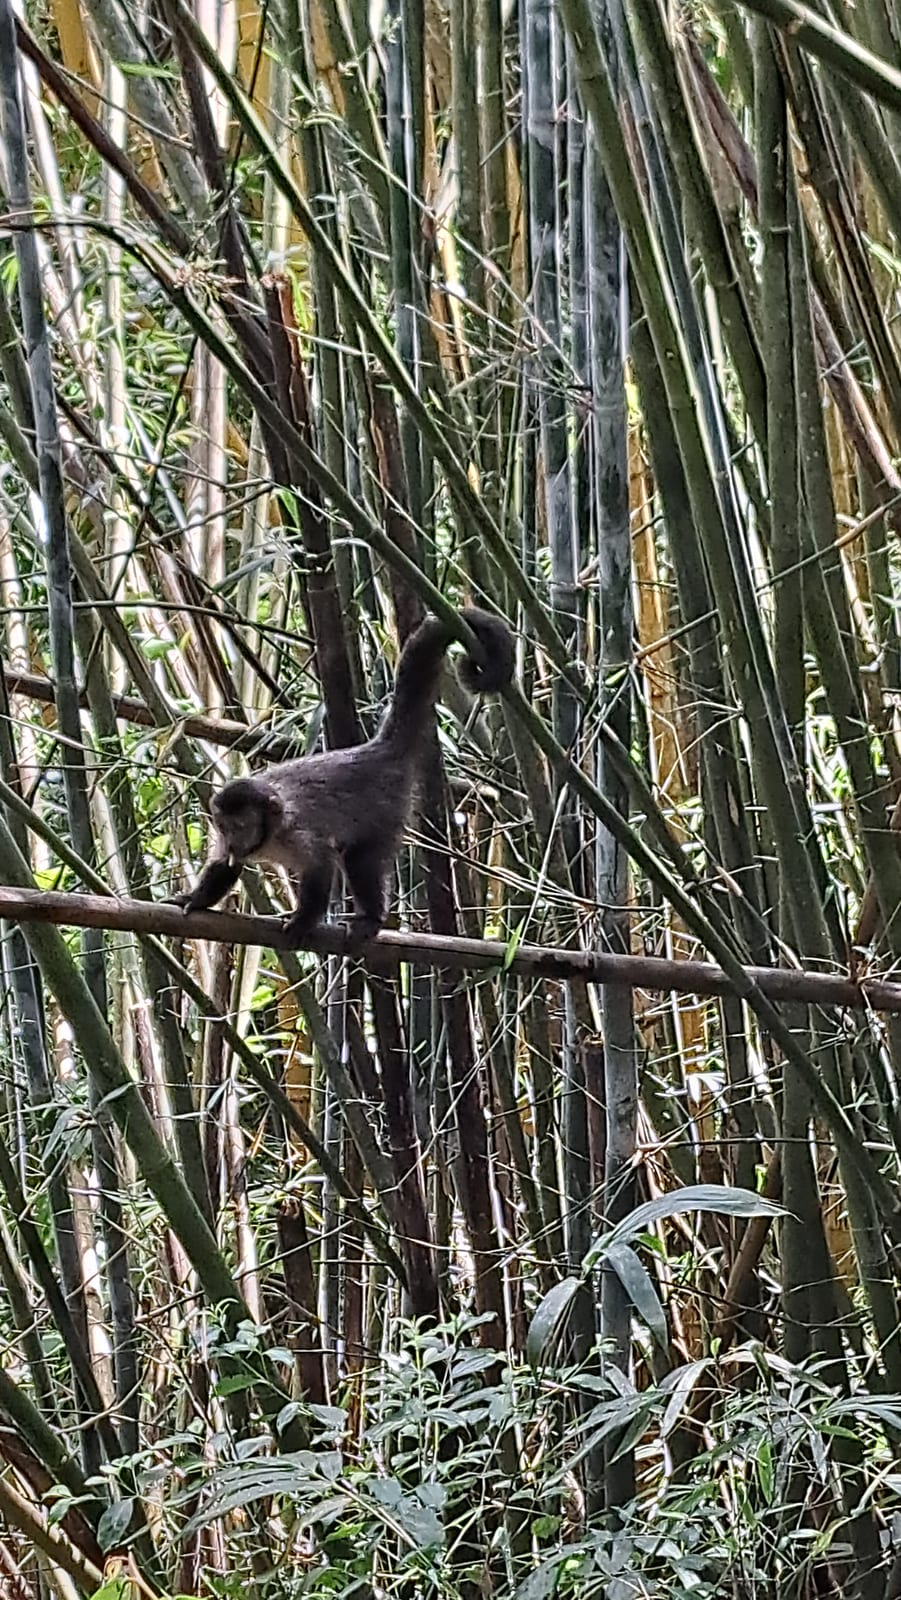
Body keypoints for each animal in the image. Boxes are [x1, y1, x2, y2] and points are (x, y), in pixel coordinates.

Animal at [170, 607, 514, 949]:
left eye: (241, 826)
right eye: (224, 827)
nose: (233, 841)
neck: (269, 833)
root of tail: (376, 750)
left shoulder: (296, 831)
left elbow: (322, 866)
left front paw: (303, 921)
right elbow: (223, 865)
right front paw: (195, 899)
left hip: (387, 807)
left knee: (360, 859)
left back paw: (371, 918)